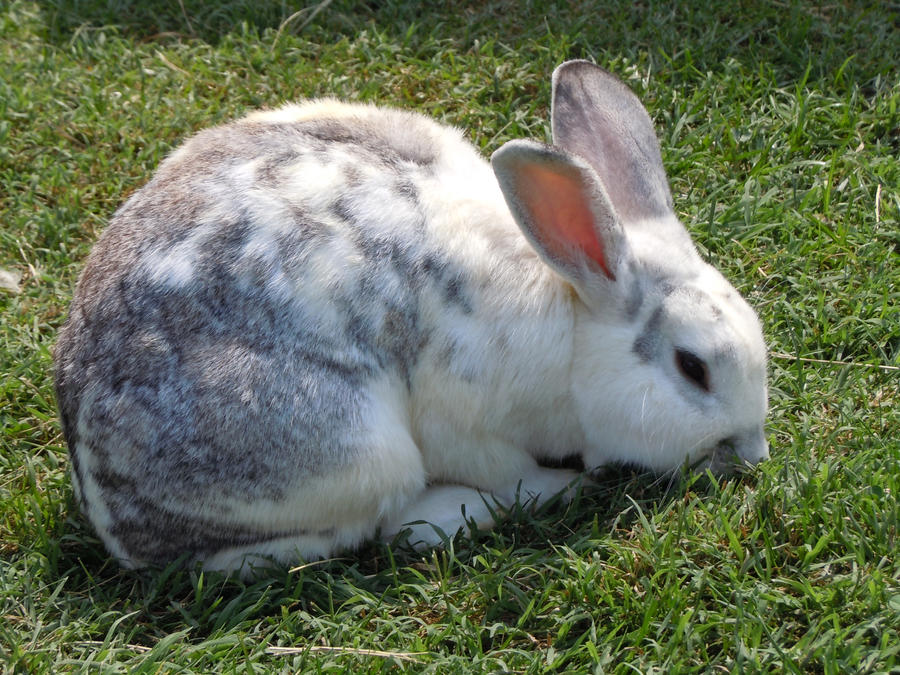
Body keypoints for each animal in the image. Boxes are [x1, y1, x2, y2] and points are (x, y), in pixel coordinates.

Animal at [54, 60, 769, 574]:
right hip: (355, 450)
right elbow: (510, 470)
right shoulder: (467, 424)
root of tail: (110, 510)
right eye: (693, 367)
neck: (571, 316)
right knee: (361, 526)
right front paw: (565, 484)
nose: (754, 454)